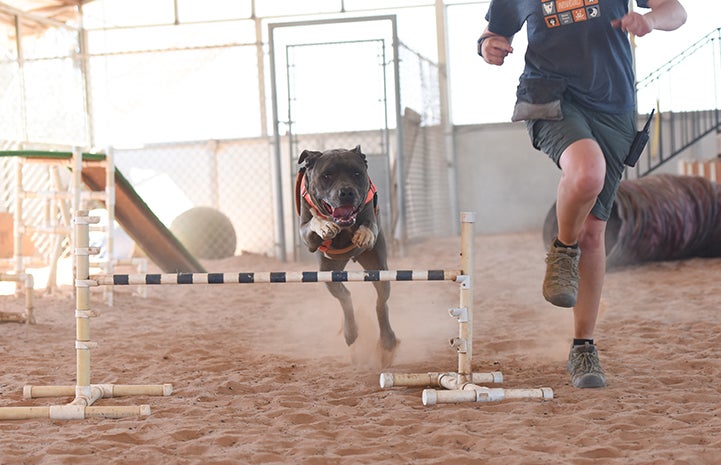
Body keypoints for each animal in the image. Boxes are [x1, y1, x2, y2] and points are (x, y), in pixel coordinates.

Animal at [296, 145, 400, 366]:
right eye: (327, 175)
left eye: (356, 173)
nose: (346, 192)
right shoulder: (307, 237)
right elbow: (314, 222)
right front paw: (325, 225)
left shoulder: (371, 216)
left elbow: (369, 224)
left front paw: (364, 233)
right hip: (328, 272)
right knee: (346, 298)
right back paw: (350, 332)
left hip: (379, 268)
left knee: (381, 303)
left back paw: (387, 340)